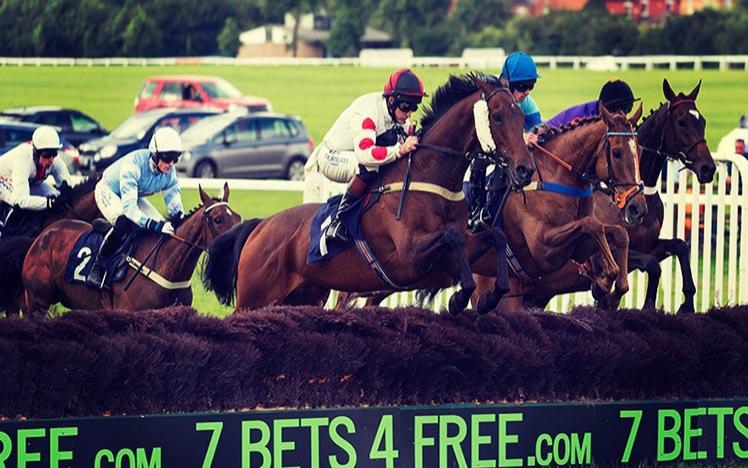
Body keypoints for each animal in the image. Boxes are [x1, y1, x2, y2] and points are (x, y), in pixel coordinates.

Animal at [202, 72, 536, 314]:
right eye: (497, 117)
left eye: (521, 118)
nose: (524, 170)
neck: (430, 179)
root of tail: (260, 226)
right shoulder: (408, 257)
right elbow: (452, 237)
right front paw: (457, 300)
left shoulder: (448, 259)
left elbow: (495, 236)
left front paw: (488, 297)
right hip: (254, 296)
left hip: (303, 295)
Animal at [524, 79, 716, 314]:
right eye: (681, 122)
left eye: (702, 121)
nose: (708, 168)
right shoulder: (606, 252)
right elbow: (652, 265)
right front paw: (645, 304)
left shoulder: (648, 244)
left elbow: (680, 246)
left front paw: (686, 302)